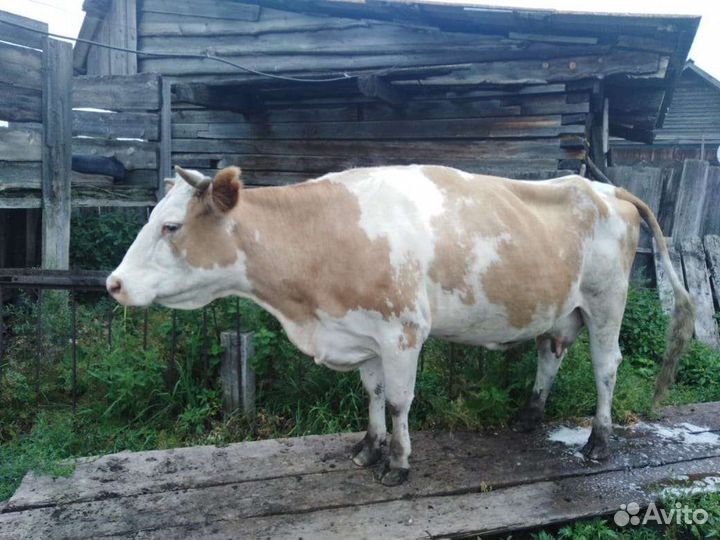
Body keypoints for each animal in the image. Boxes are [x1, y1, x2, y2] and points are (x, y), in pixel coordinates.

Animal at [107, 164, 694, 486]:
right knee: (551, 350)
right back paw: (529, 416)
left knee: (606, 367)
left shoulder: (403, 332)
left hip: (606, 301)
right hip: (562, 306)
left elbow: (397, 401)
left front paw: (399, 462)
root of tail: (605, 188)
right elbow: (370, 395)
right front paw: (369, 448)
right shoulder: (361, 333)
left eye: (171, 226)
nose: (113, 283)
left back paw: (599, 440)